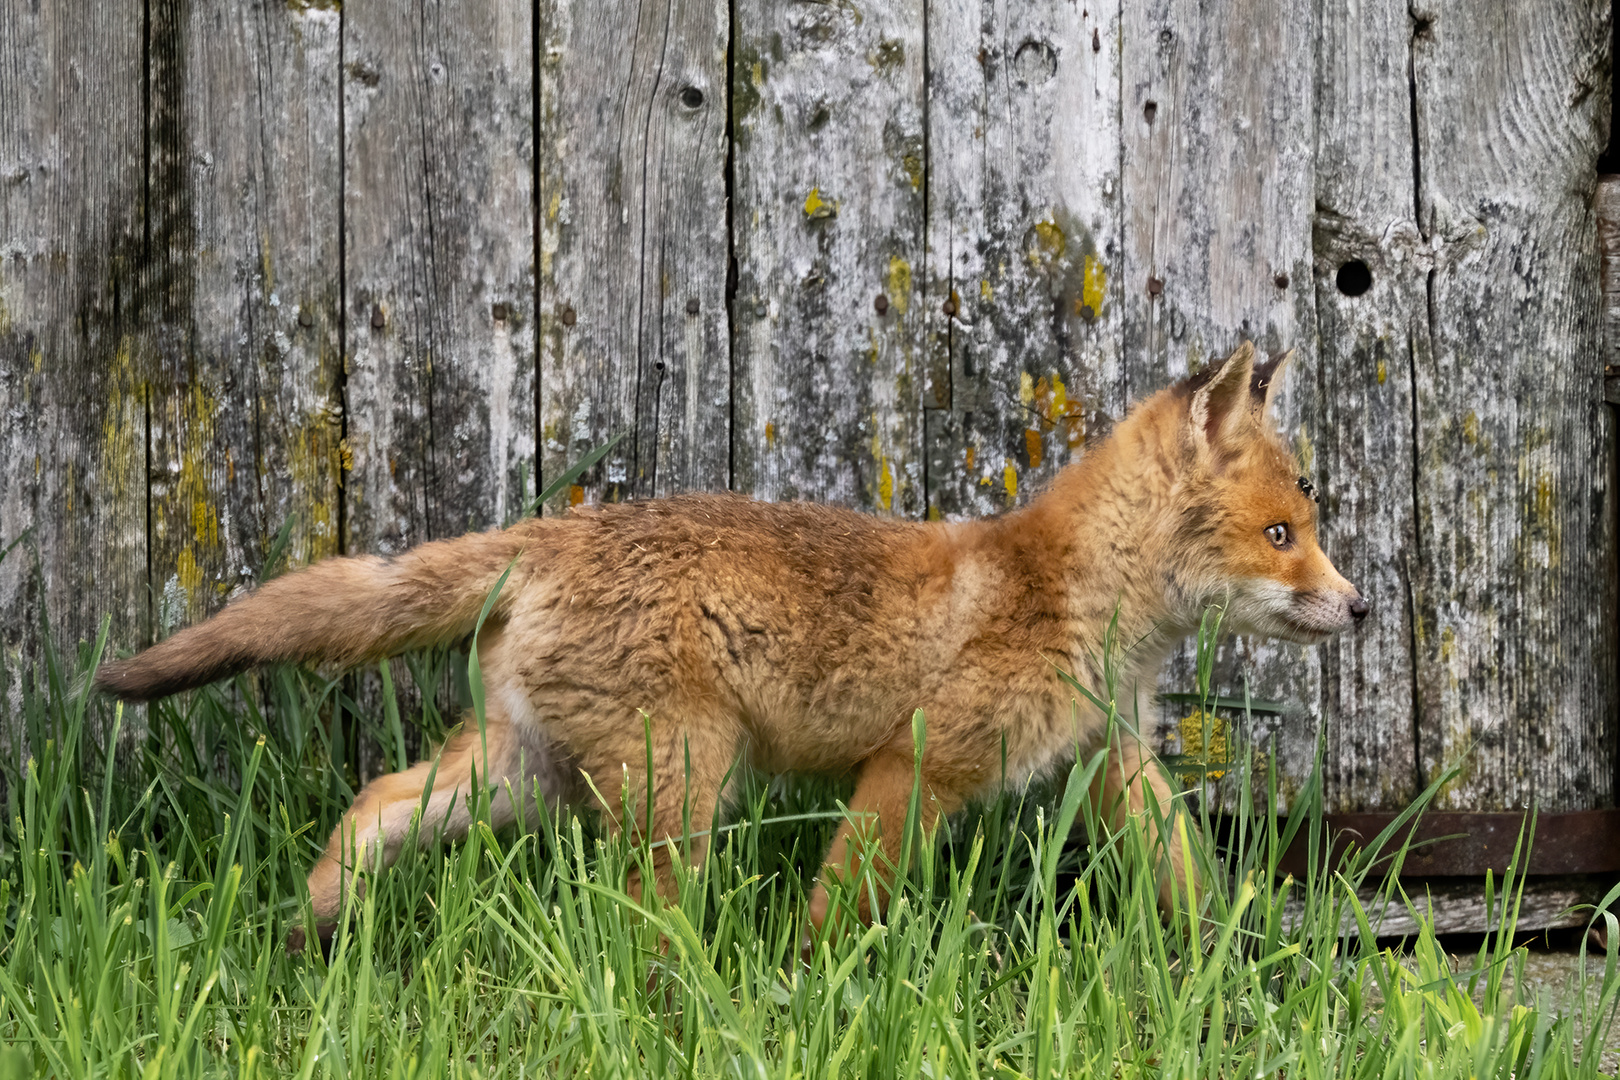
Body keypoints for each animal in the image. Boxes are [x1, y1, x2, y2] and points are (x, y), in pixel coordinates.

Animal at [91, 338, 1367, 945]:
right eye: (1281, 534)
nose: (1357, 607)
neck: (1068, 594)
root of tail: (551, 536)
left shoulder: (1114, 756)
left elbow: (1190, 877)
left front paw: (1235, 963)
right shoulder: (921, 764)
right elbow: (844, 906)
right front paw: (814, 988)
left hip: (522, 773)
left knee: (374, 801)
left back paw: (317, 927)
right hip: (679, 789)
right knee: (638, 919)